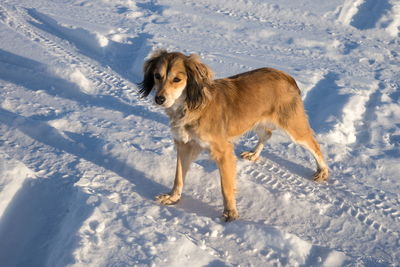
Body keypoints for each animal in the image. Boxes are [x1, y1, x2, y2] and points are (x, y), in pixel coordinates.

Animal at [138, 49, 328, 222]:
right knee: (266, 134)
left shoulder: (224, 152)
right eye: (157, 76)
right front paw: (173, 197)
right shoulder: (184, 145)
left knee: (314, 145)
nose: (159, 99)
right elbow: (178, 176)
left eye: (177, 79)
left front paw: (230, 212)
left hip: (293, 128)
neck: (191, 106)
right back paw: (254, 154)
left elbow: (226, 187)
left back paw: (323, 171)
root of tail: (286, 76)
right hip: (255, 121)